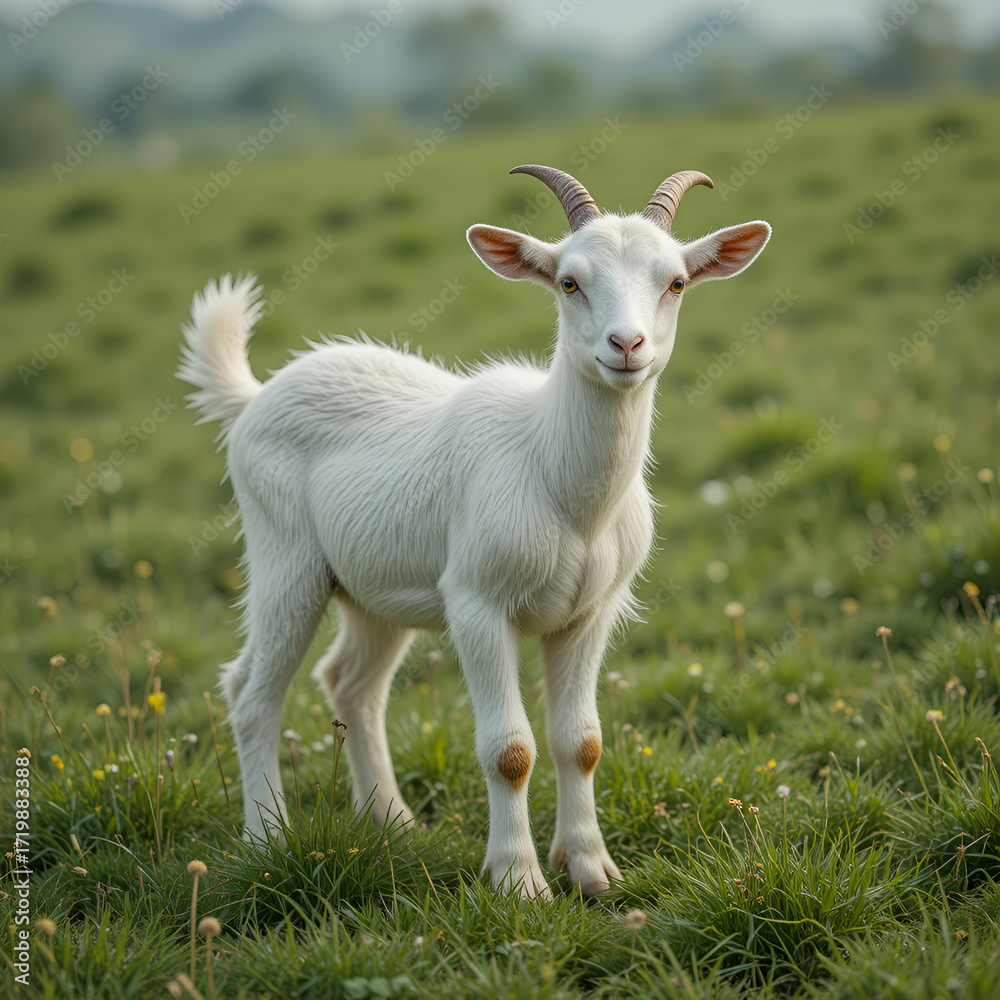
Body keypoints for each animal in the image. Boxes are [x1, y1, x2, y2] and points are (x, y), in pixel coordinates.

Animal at [178, 164, 770, 898]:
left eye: (677, 282)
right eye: (568, 282)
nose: (626, 346)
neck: (556, 479)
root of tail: (254, 396)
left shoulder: (590, 612)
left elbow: (581, 740)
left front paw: (591, 871)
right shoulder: (478, 603)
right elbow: (509, 750)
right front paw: (519, 882)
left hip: (377, 591)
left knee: (351, 684)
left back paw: (393, 825)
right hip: (284, 559)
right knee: (252, 692)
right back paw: (267, 839)